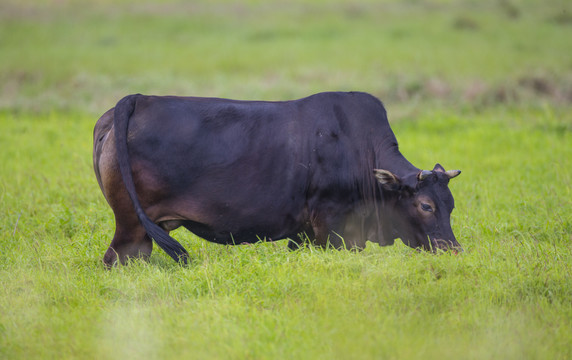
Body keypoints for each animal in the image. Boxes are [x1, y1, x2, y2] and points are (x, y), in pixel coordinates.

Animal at [92, 91, 460, 266]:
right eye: (425, 205)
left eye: (451, 205)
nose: (453, 250)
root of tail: (139, 99)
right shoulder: (335, 228)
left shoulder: (305, 234)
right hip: (131, 226)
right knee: (114, 260)